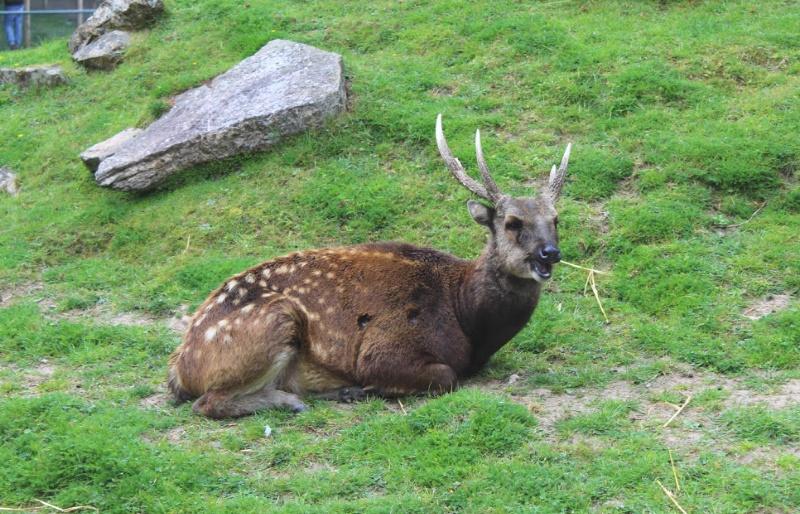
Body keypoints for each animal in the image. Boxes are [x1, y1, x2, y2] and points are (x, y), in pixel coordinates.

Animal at [167, 113, 568, 416]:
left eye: (556, 219)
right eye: (512, 222)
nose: (549, 253)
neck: (467, 319)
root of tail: (181, 366)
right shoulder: (384, 349)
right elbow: (445, 376)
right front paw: (366, 388)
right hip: (273, 322)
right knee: (207, 402)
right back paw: (296, 400)